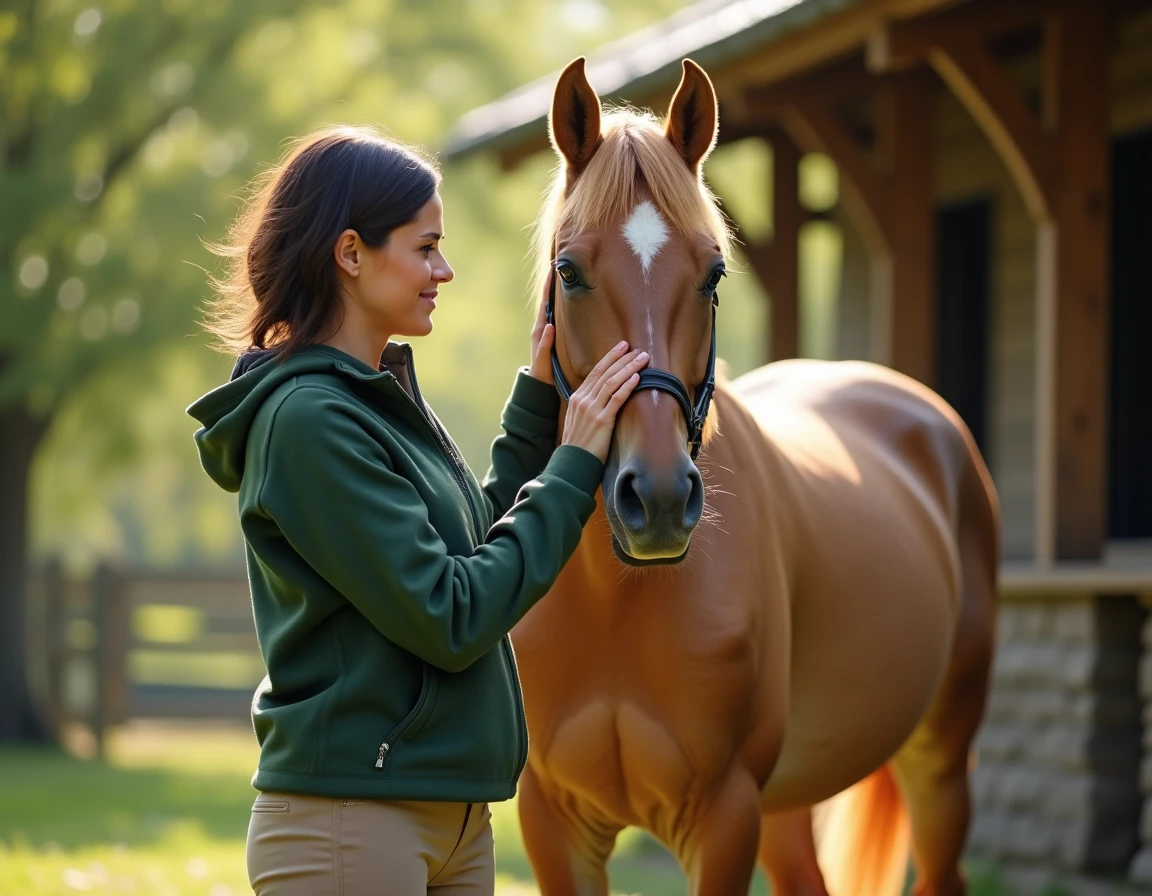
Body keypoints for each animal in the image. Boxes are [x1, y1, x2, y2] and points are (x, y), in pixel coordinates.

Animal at [510, 57, 1000, 896]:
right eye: (568, 272)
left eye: (712, 274)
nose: (659, 499)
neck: (616, 601)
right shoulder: (556, 823)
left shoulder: (725, 814)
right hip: (789, 809)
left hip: (940, 763)